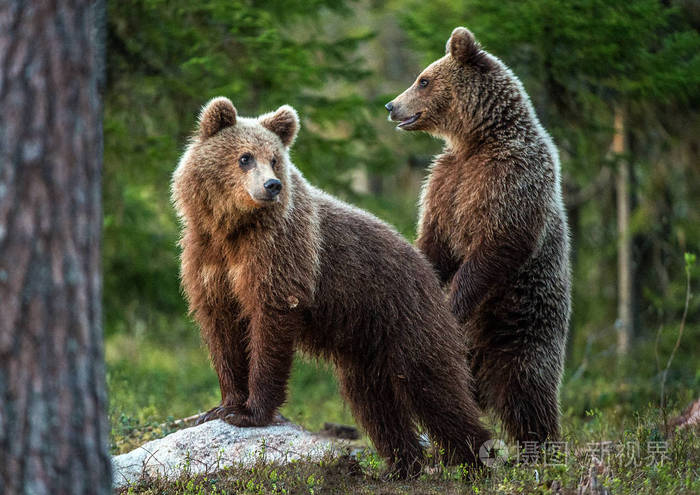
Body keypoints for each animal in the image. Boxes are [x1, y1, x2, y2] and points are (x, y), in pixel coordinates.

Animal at [172, 95, 490, 478]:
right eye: (245, 157)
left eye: (275, 159)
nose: (272, 186)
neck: (233, 228)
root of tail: (424, 264)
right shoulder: (207, 260)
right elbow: (221, 330)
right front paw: (222, 405)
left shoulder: (279, 253)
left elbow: (270, 321)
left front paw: (251, 412)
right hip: (366, 343)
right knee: (375, 403)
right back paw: (402, 465)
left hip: (406, 315)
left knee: (433, 385)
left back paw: (474, 461)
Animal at [386, 28, 572, 446]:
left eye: (423, 79)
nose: (391, 106)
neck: (478, 139)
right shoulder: (445, 182)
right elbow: (435, 243)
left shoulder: (508, 178)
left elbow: (496, 246)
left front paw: (452, 305)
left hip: (522, 328)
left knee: (527, 394)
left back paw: (541, 449)